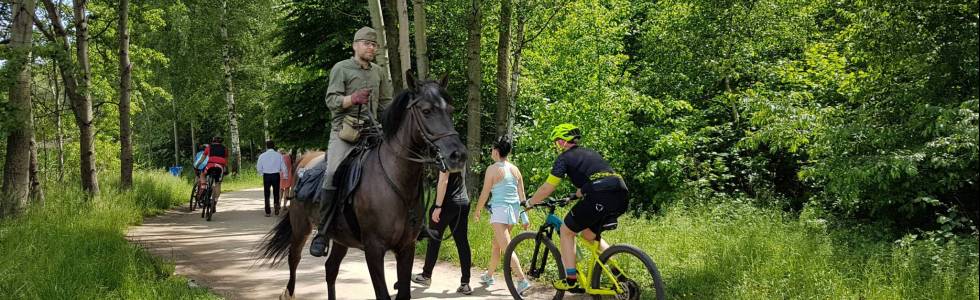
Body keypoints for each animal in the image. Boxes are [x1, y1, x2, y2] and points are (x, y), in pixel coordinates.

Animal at [256, 73, 464, 300]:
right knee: (294, 258)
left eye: (450, 110)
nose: (458, 155)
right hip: (301, 227)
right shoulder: (374, 249)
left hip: (340, 239)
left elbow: (403, 293)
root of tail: (304, 160)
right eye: (426, 111)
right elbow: (382, 294)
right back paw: (289, 291)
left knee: (330, 269)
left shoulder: (406, 248)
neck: (397, 183)